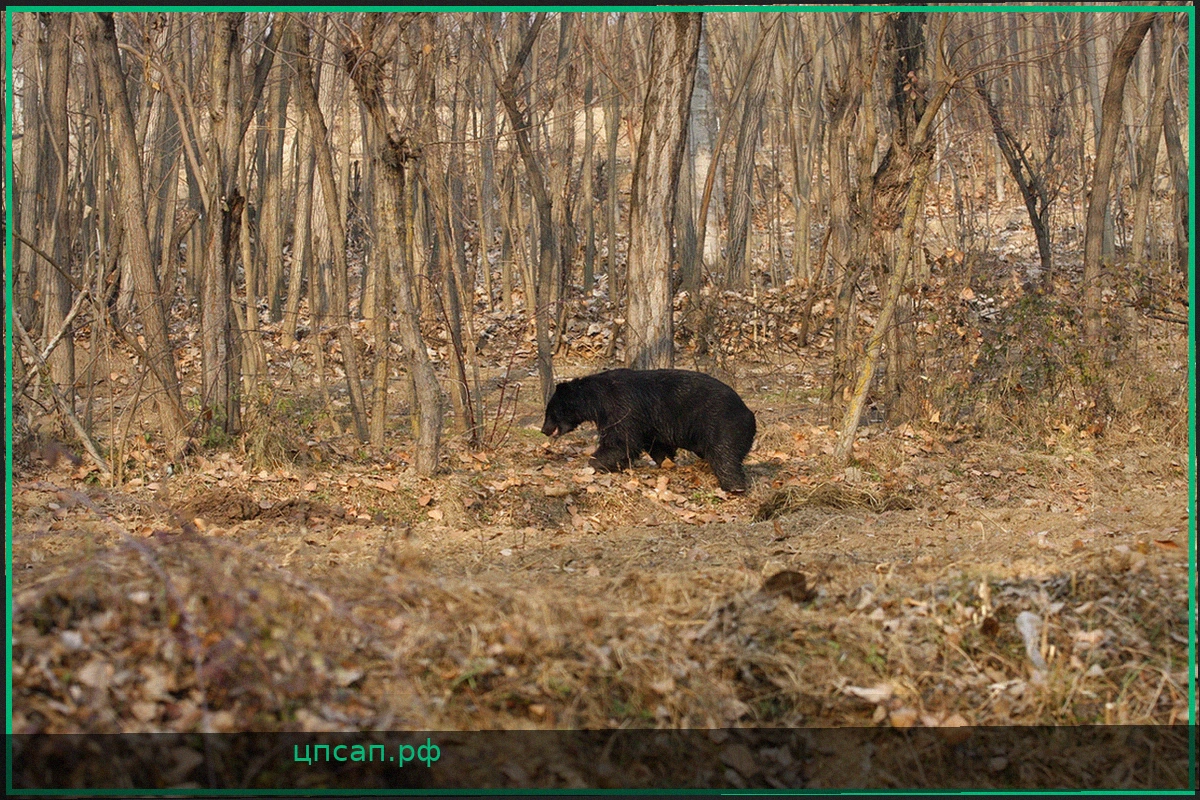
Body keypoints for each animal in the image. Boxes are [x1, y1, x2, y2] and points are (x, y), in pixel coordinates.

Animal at [541, 369, 757, 493]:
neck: (597, 399)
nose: (544, 430)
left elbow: (621, 441)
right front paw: (665, 462)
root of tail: (749, 414)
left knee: (724, 455)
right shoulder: (649, 421)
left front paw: (594, 463)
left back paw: (734, 486)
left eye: (550, 412)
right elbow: (656, 444)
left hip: (722, 425)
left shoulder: (622, 406)